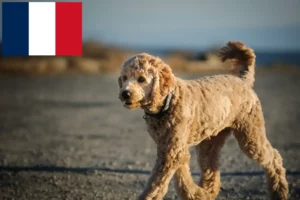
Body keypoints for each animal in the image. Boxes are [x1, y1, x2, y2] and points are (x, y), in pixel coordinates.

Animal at [117, 41, 288, 199]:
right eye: (124, 78)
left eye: (141, 79)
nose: (125, 94)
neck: (168, 100)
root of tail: (243, 80)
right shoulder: (172, 148)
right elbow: (182, 177)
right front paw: (196, 194)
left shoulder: (172, 151)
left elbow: (156, 184)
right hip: (210, 141)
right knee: (212, 171)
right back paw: (207, 193)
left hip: (250, 134)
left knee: (274, 158)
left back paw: (279, 192)